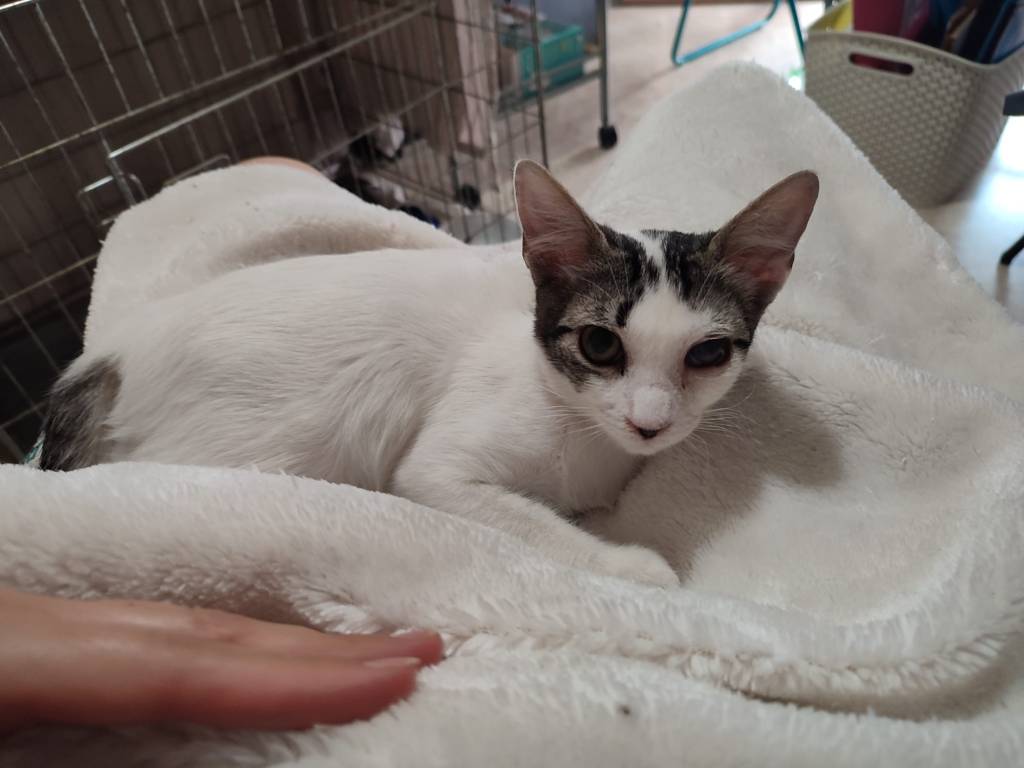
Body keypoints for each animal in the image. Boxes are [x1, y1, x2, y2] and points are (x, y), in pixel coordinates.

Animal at [40, 161, 818, 586]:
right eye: (600, 344)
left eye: (706, 355)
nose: (648, 423)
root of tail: (103, 355)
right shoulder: (434, 471)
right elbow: (519, 516)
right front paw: (632, 566)